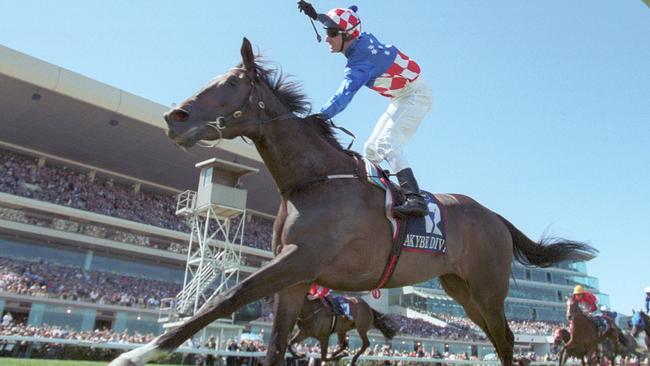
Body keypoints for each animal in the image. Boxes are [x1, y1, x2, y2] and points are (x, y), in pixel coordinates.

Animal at [107, 38, 596, 366]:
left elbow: (228, 295)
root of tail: (494, 216)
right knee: (498, 338)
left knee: (507, 338)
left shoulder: (301, 258)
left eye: (228, 83)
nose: (175, 117)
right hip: (462, 289)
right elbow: (276, 344)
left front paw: (142, 351)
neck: (313, 180)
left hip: (488, 287)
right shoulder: (296, 279)